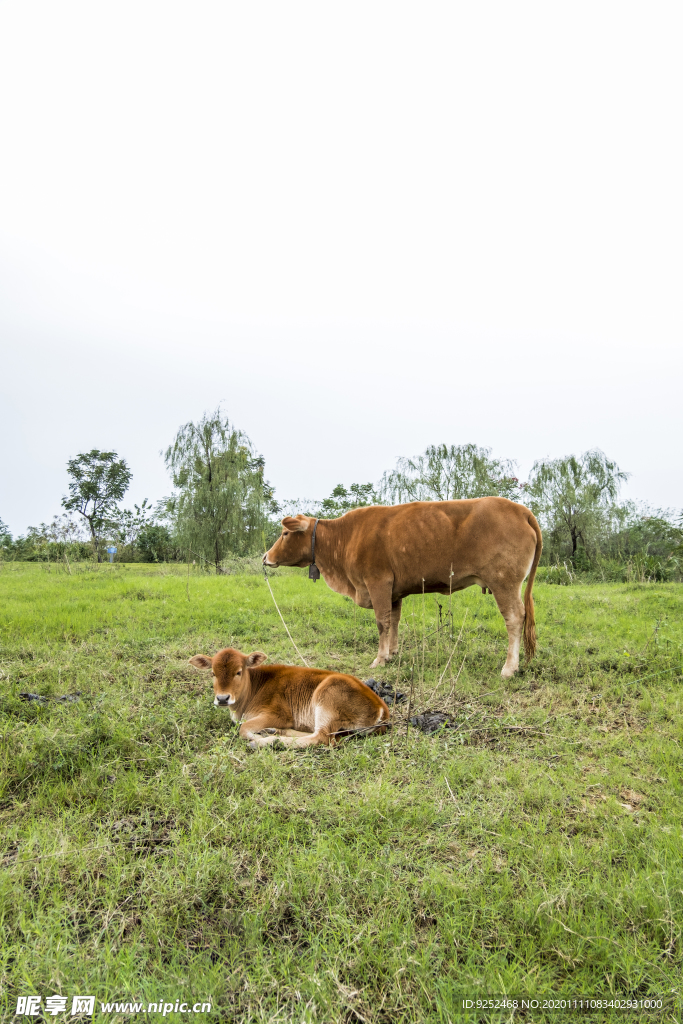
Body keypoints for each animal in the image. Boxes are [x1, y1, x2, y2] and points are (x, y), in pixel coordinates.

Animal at [188, 647, 389, 753]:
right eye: (213, 673)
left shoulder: (279, 714)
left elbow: (243, 729)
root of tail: (382, 707)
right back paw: (275, 732)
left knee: (322, 738)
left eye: (238, 672)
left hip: (327, 698)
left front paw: (257, 737)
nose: (222, 698)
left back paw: (268, 740)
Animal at [264, 497, 540, 679]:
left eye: (285, 534)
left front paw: (380, 658)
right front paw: (393, 652)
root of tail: (520, 509)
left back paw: (509, 668)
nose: (266, 557)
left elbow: (382, 622)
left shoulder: (378, 582)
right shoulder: (393, 591)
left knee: (515, 618)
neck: (345, 537)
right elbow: (394, 620)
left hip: (504, 582)